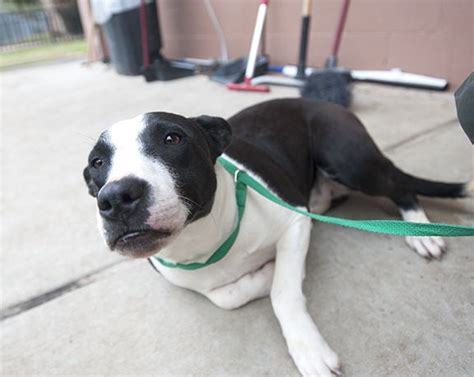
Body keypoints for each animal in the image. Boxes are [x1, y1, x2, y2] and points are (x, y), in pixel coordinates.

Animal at [83, 98, 472, 374]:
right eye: (97, 163)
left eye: (172, 138)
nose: (115, 197)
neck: (207, 239)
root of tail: (320, 101)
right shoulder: (182, 275)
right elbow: (225, 297)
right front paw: (264, 272)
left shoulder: (296, 221)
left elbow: (283, 292)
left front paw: (308, 347)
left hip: (347, 158)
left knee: (399, 186)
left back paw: (420, 229)